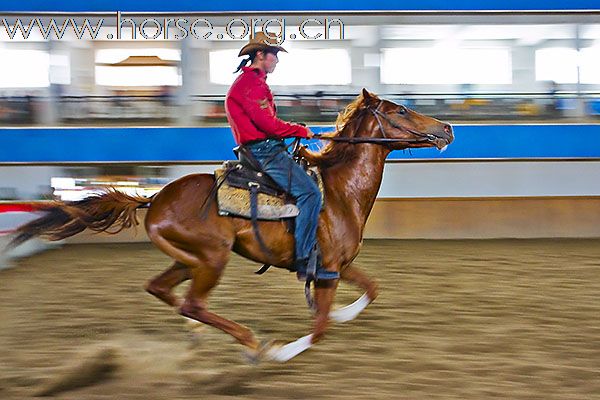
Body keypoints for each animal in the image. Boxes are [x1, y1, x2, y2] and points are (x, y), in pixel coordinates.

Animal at [9, 88, 452, 362]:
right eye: (400, 110)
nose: (446, 128)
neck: (340, 191)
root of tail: (154, 199)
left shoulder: (336, 266)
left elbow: (371, 289)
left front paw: (344, 314)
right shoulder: (326, 270)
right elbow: (319, 328)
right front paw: (280, 351)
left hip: (188, 260)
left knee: (162, 290)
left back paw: (197, 330)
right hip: (211, 259)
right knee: (193, 302)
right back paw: (250, 343)